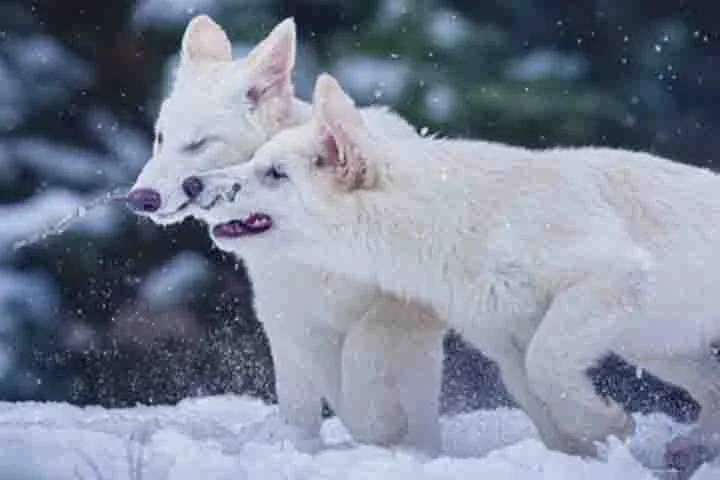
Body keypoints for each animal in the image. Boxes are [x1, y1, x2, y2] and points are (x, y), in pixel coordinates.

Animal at [126, 16, 445, 452]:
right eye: (161, 138)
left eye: (197, 144)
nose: (140, 198)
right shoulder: (289, 320)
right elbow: (306, 399)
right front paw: (300, 442)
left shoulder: (402, 304)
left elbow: (365, 348)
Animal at [190, 73, 720, 459]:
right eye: (255, 161)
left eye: (275, 174)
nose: (194, 184)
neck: (453, 218)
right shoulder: (504, 342)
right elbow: (538, 397)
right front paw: (583, 451)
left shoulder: (609, 273)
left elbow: (548, 365)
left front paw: (607, 422)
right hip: (656, 345)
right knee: (712, 390)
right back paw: (689, 447)